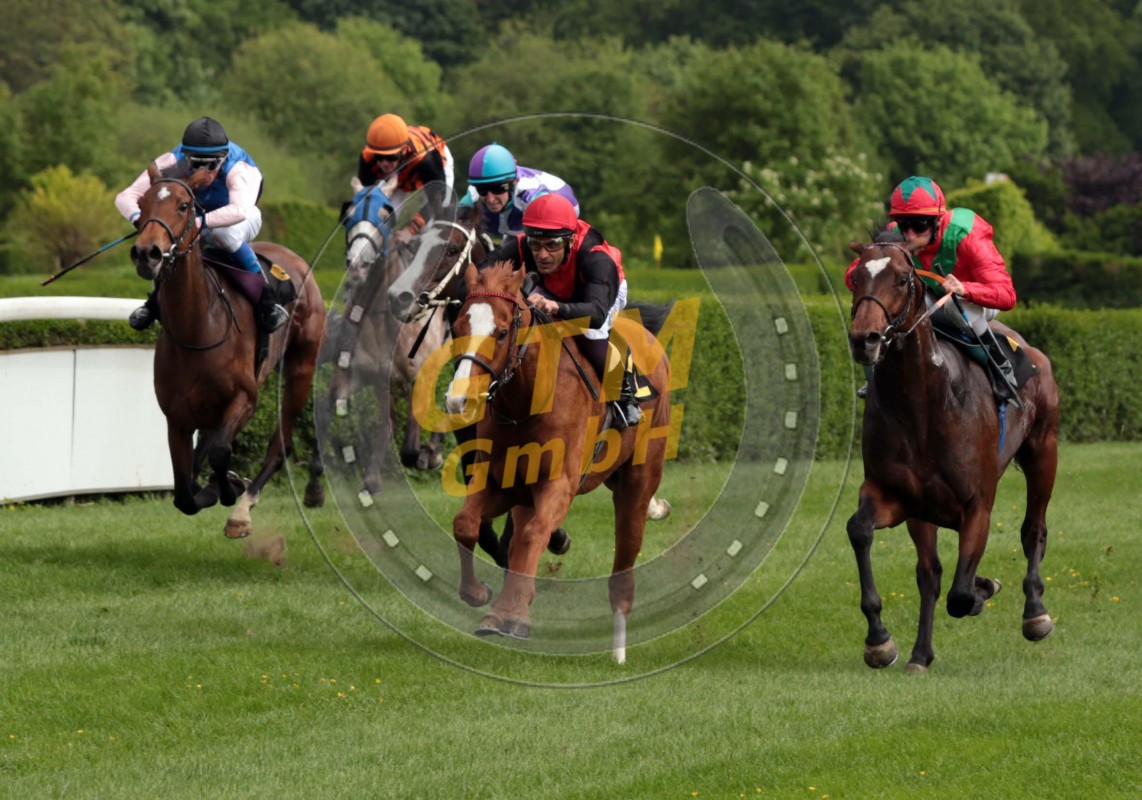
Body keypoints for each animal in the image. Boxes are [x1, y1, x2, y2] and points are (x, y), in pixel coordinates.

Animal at [129, 163, 325, 538]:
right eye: (142, 204)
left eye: (183, 206)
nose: (147, 253)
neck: (197, 327)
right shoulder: (176, 417)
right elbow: (184, 493)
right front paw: (215, 485)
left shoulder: (244, 399)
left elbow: (221, 452)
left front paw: (231, 489)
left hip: (301, 366)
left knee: (279, 445)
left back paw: (244, 505)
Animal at [312, 180, 448, 498]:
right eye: (348, 214)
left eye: (386, 215)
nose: (358, 263)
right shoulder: (360, 374)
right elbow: (327, 409)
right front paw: (317, 481)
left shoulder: (416, 376)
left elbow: (410, 440)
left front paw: (423, 455)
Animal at [446, 261, 672, 663]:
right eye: (457, 328)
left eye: (501, 332)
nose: (460, 401)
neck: (526, 400)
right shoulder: (503, 482)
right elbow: (467, 524)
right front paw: (481, 596)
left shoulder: (560, 483)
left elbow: (536, 533)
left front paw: (514, 616)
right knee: (517, 538)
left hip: (638, 481)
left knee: (623, 562)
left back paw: (619, 652)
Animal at [846, 237, 1060, 671]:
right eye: (856, 277)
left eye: (902, 278)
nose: (864, 339)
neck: (924, 407)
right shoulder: (897, 497)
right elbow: (861, 530)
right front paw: (880, 641)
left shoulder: (977, 504)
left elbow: (960, 594)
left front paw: (983, 589)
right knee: (930, 573)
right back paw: (920, 654)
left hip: (1043, 451)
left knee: (1034, 529)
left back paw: (1035, 613)